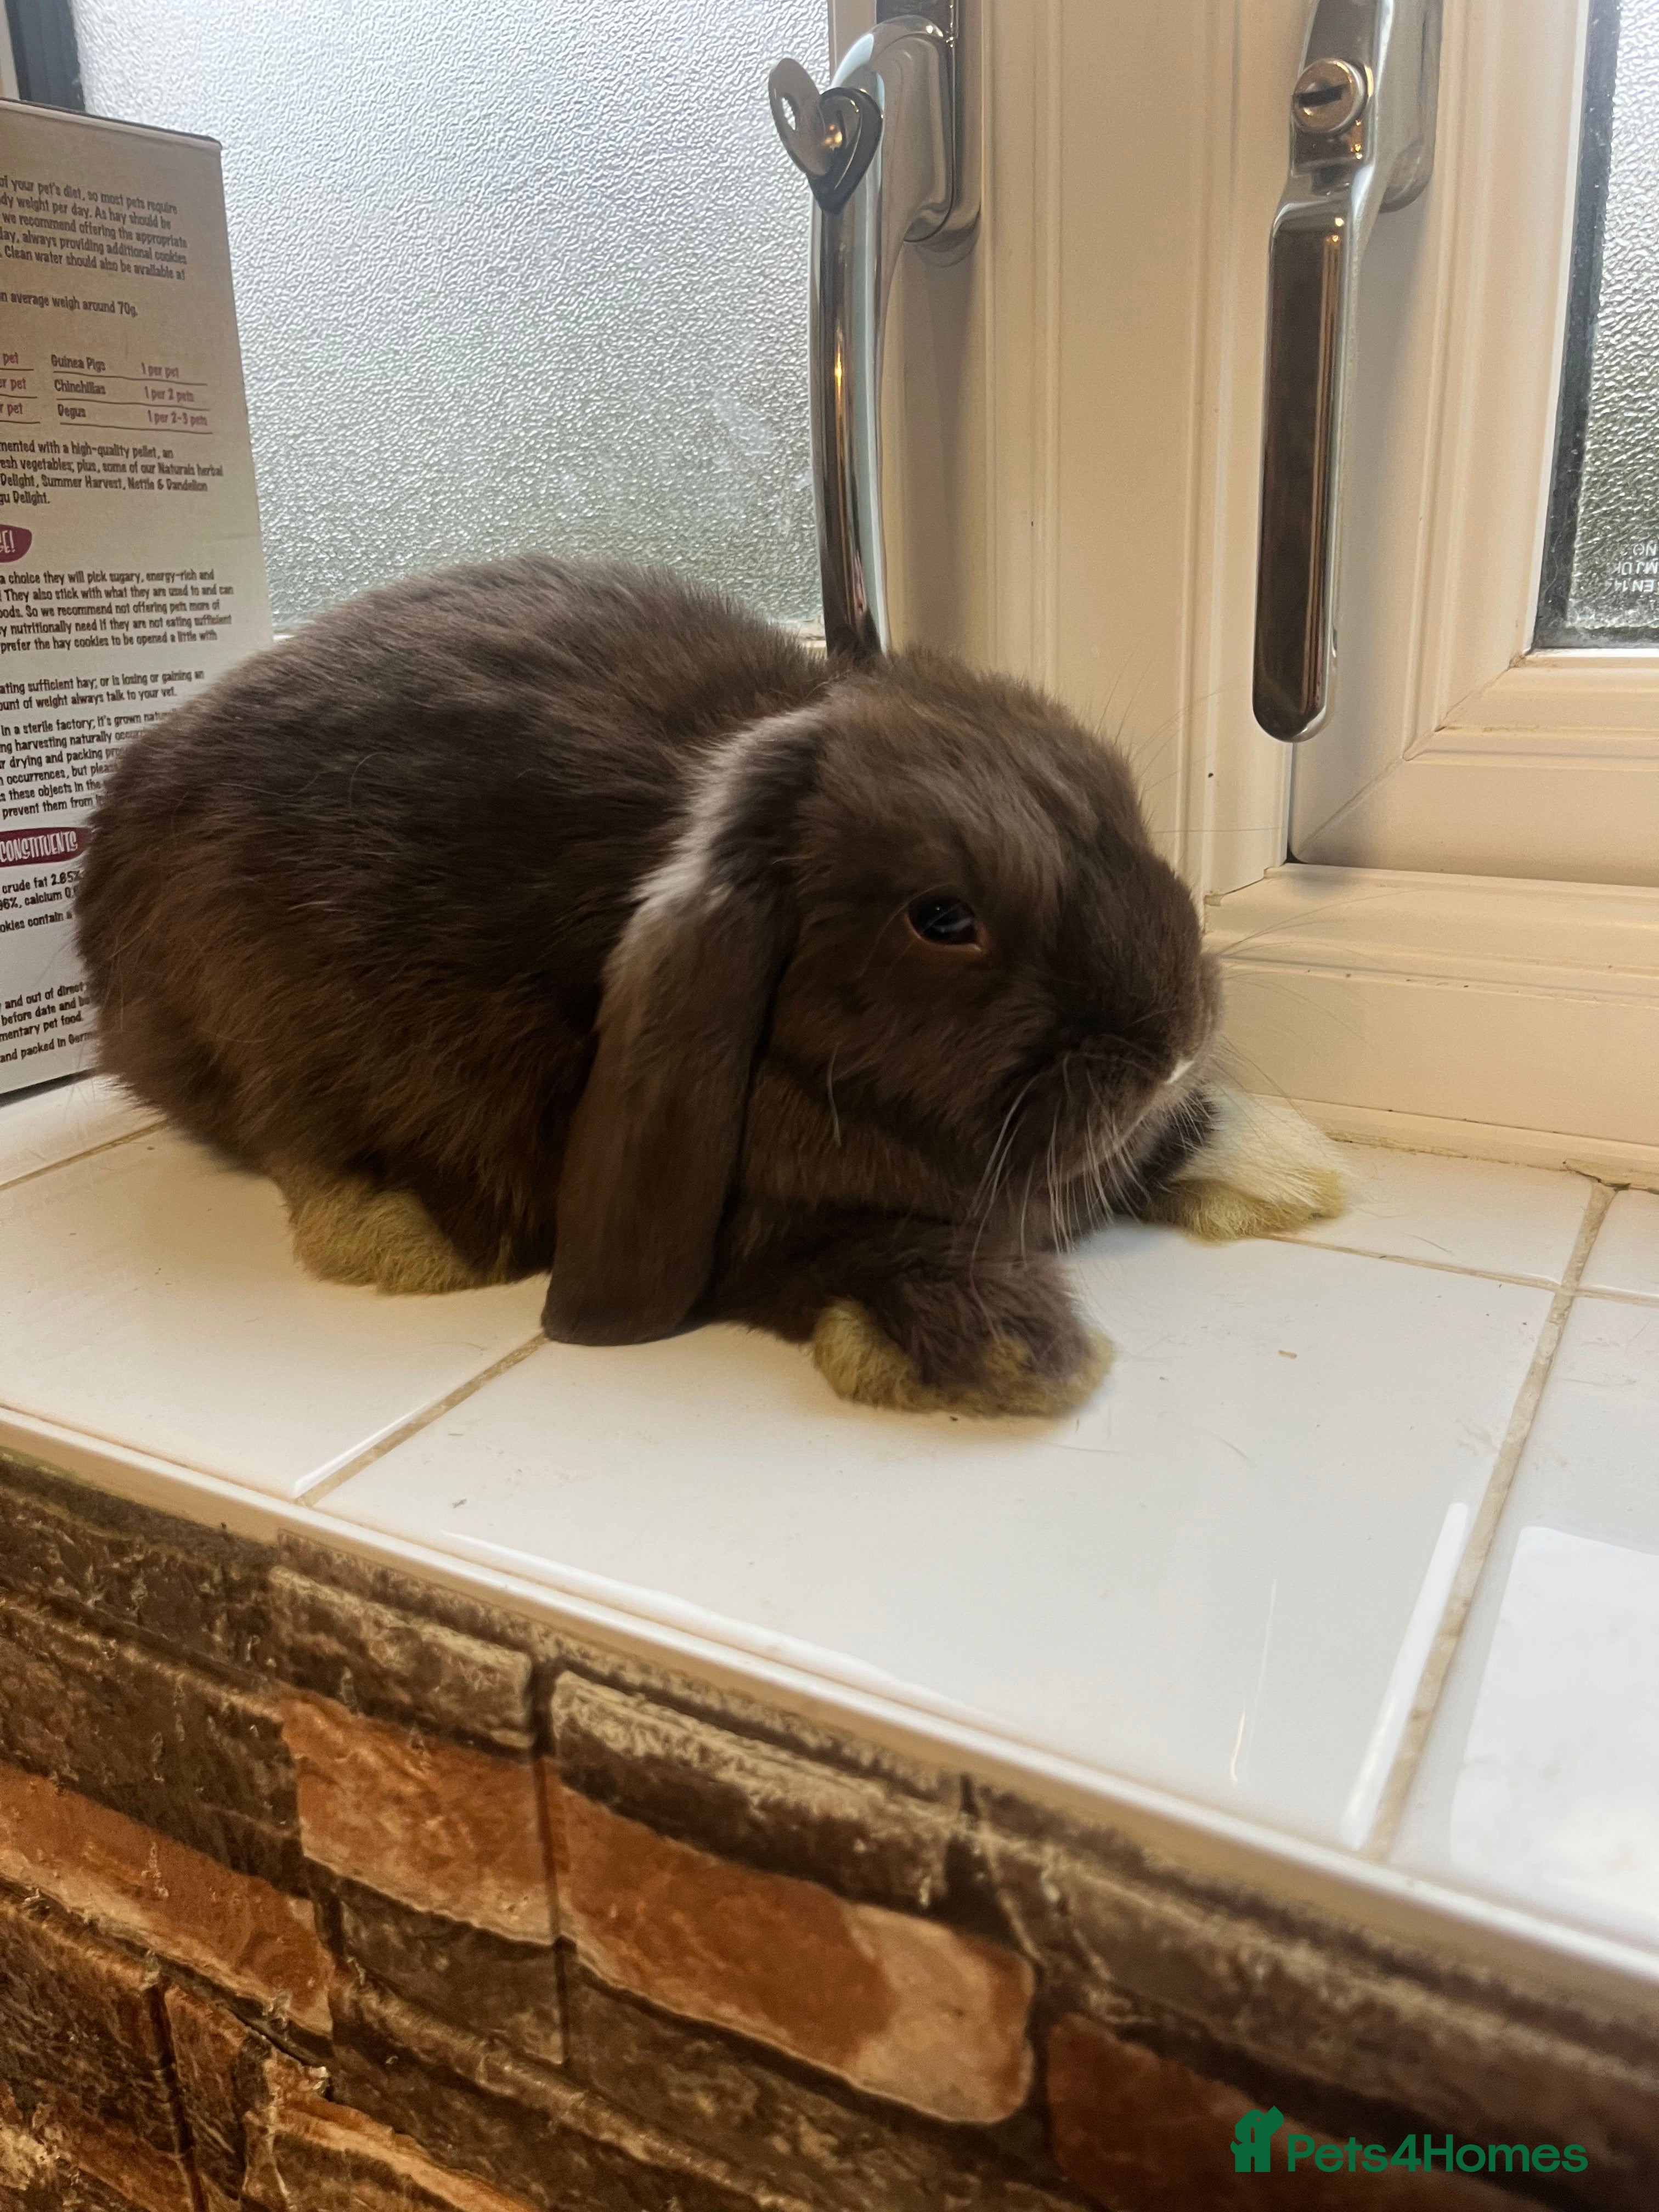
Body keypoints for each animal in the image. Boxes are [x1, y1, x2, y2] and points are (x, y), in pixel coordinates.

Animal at [76, 556, 1346, 1418]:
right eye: (942, 919)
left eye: (1122, 804)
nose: (1176, 1039)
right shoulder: (764, 1230)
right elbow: (854, 1257)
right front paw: (1011, 1349)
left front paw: (1288, 1163)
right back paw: (403, 1229)